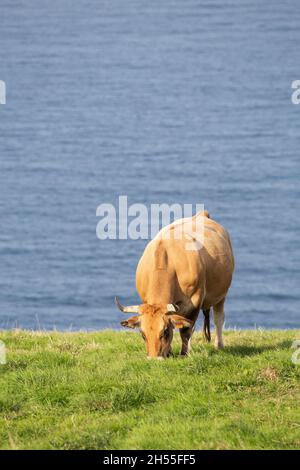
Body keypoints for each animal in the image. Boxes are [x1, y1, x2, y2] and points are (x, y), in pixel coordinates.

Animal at [115, 211, 234, 358]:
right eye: (143, 334)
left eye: (165, 331)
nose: (154, 359)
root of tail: (201, 215)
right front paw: (170, 352)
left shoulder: (194, 301)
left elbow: (186, 330)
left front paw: (184, 354)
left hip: (221, 294)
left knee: (218, 319)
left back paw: (219, 345)